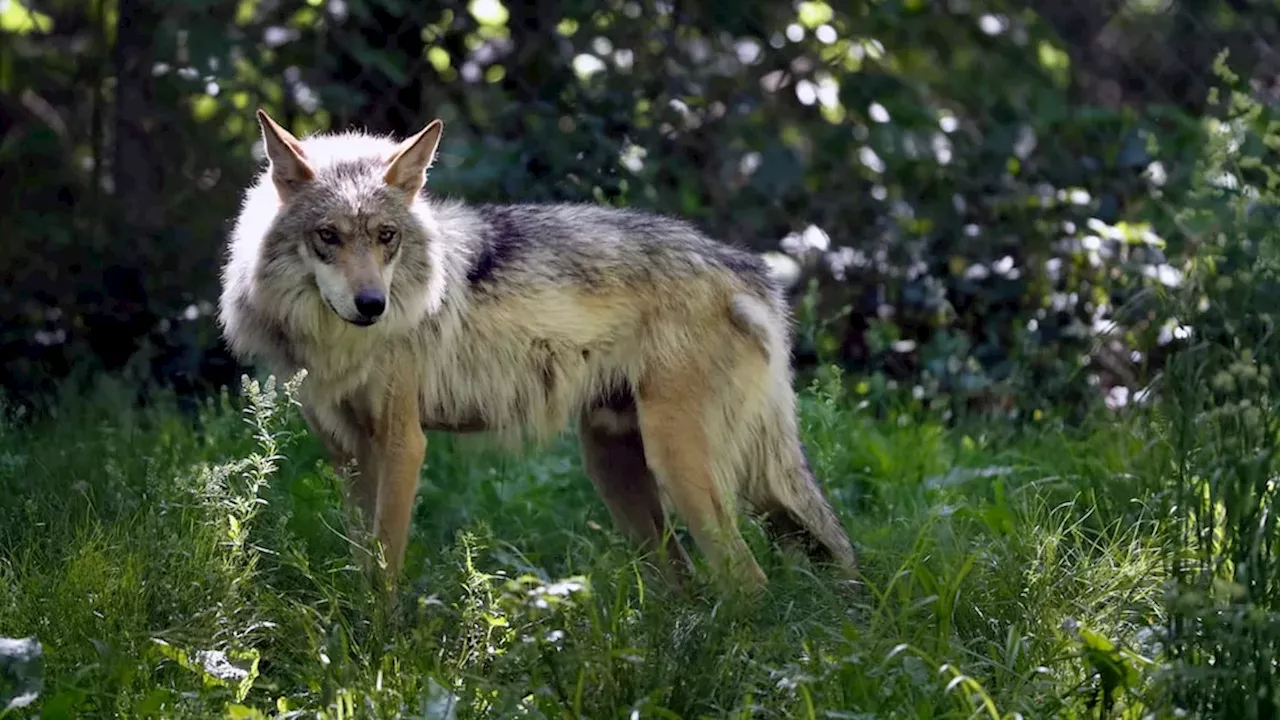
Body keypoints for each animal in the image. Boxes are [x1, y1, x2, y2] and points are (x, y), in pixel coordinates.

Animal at [217, 109, 858, 592]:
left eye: (386, 237)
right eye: (328, 236)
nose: (371, 304)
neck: (340, 345)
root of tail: (747, 268)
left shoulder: (403, 446)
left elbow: (385, 573)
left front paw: (381, 655)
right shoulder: (348, 455)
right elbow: (361, 570)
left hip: (682, 469)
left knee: (748, 582)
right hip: (619, 473)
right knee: (688, 585)